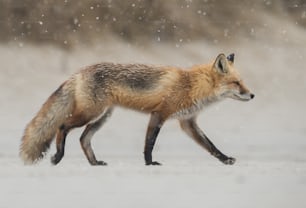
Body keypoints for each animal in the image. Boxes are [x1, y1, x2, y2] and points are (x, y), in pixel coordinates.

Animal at [19, 53, 253, 166]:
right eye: (236, 83)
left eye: (242, 81)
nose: (252, 95)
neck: (192, 85)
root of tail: (79, 72)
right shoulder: (159, 114)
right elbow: (149, 143)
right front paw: (150, 163)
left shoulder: (188, 122)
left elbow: (210, 145)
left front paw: (225, 159)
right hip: (89, 114)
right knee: (62, 126)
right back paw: (58, 156)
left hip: (103, 117)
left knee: (83, 139)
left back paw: (94, 163)